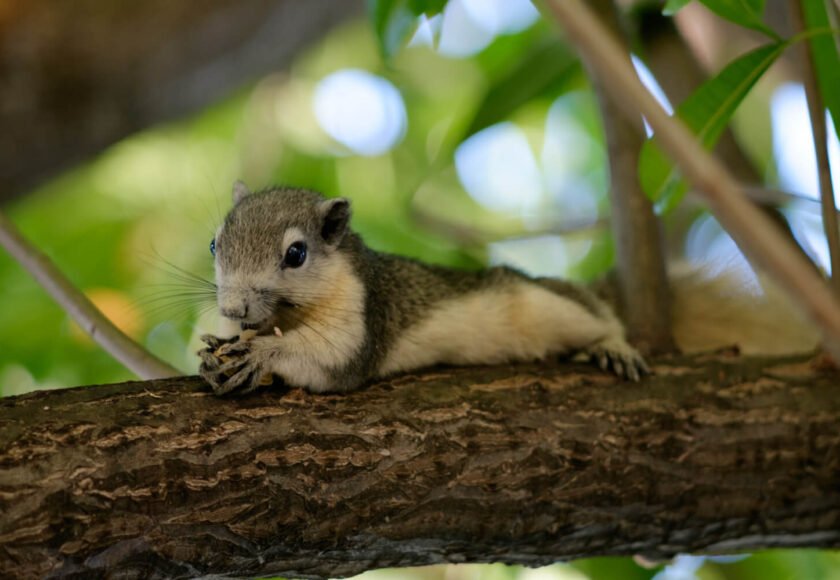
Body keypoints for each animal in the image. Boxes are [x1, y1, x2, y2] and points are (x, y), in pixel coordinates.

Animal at [197, 184, 648, 396]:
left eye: (296, 253)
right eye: (214, 244)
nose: (233, 309)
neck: (291, 313)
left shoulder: (364, 309)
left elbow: (333, 357)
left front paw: (261, 353)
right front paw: (216, 352)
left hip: (548, 306)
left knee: (597, 314)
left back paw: (613, 345)